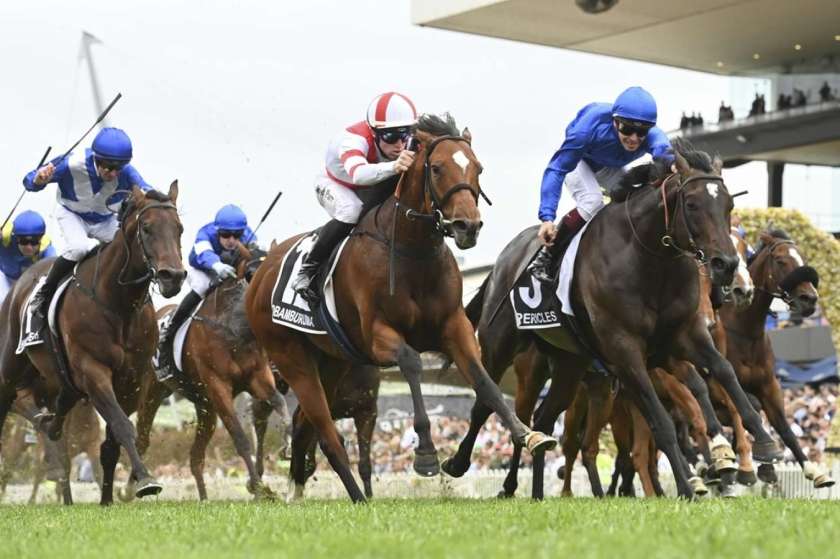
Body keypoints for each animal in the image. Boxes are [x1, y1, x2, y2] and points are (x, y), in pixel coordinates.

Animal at [0, 184, 186, 505]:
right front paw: (146, 480)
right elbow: (123, 426)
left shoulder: (132, 381)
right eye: (147, 228)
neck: (119, 306)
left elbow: (111, 443)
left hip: (56, 377)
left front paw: (107, 499)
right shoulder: (94, 370)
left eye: (179, 229)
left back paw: (49, 426)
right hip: (11, 369)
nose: (172, 276)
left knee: (60, 408)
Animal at [129, 242, 291, 501]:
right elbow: (240, 438)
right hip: (152, 395)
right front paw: (259, 488)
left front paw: (288, 444)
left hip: (206, 408)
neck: (234, 331)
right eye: (251, 273)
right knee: (142, 440)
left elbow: (279, 402)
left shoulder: (258, 378)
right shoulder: (218, 387)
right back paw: (130, 489)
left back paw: (204, 499)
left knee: (196, 457)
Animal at [246, 113, 555, 503]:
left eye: (479, 168)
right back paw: (358, 498)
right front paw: (426, 454)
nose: (467, 226)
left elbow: (483, 380)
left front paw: (527, 434)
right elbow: (411, 362)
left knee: (305, 424)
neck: (413, 251)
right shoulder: (377, 335)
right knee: (327, 433)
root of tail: (259, 276)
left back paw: (299, 491)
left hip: (332, 361)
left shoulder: (454, 328)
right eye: (437, 168)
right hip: (290, 358)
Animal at [443, 139, 782, 498]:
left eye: (729, 205)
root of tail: (502, 261)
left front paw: (763, 444)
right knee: (488, 401)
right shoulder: (626, 351)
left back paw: (536, 490)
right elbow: (662, 422)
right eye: (691, 204)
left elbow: (724, 372)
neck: (649, 258)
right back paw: (463, 465)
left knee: (545, 418)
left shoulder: (683, 336)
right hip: (503, 348)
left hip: (570, 364)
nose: (726, 264)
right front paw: (690, 484)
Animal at [718, 228, 833, 488]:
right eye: (781, 260)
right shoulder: (724, 382)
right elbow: (743, 410)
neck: (745, 331)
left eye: (802, 257)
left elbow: (782, 426)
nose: (810, 299)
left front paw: (812, 470)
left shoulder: (769, 385)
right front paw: (749, 465)